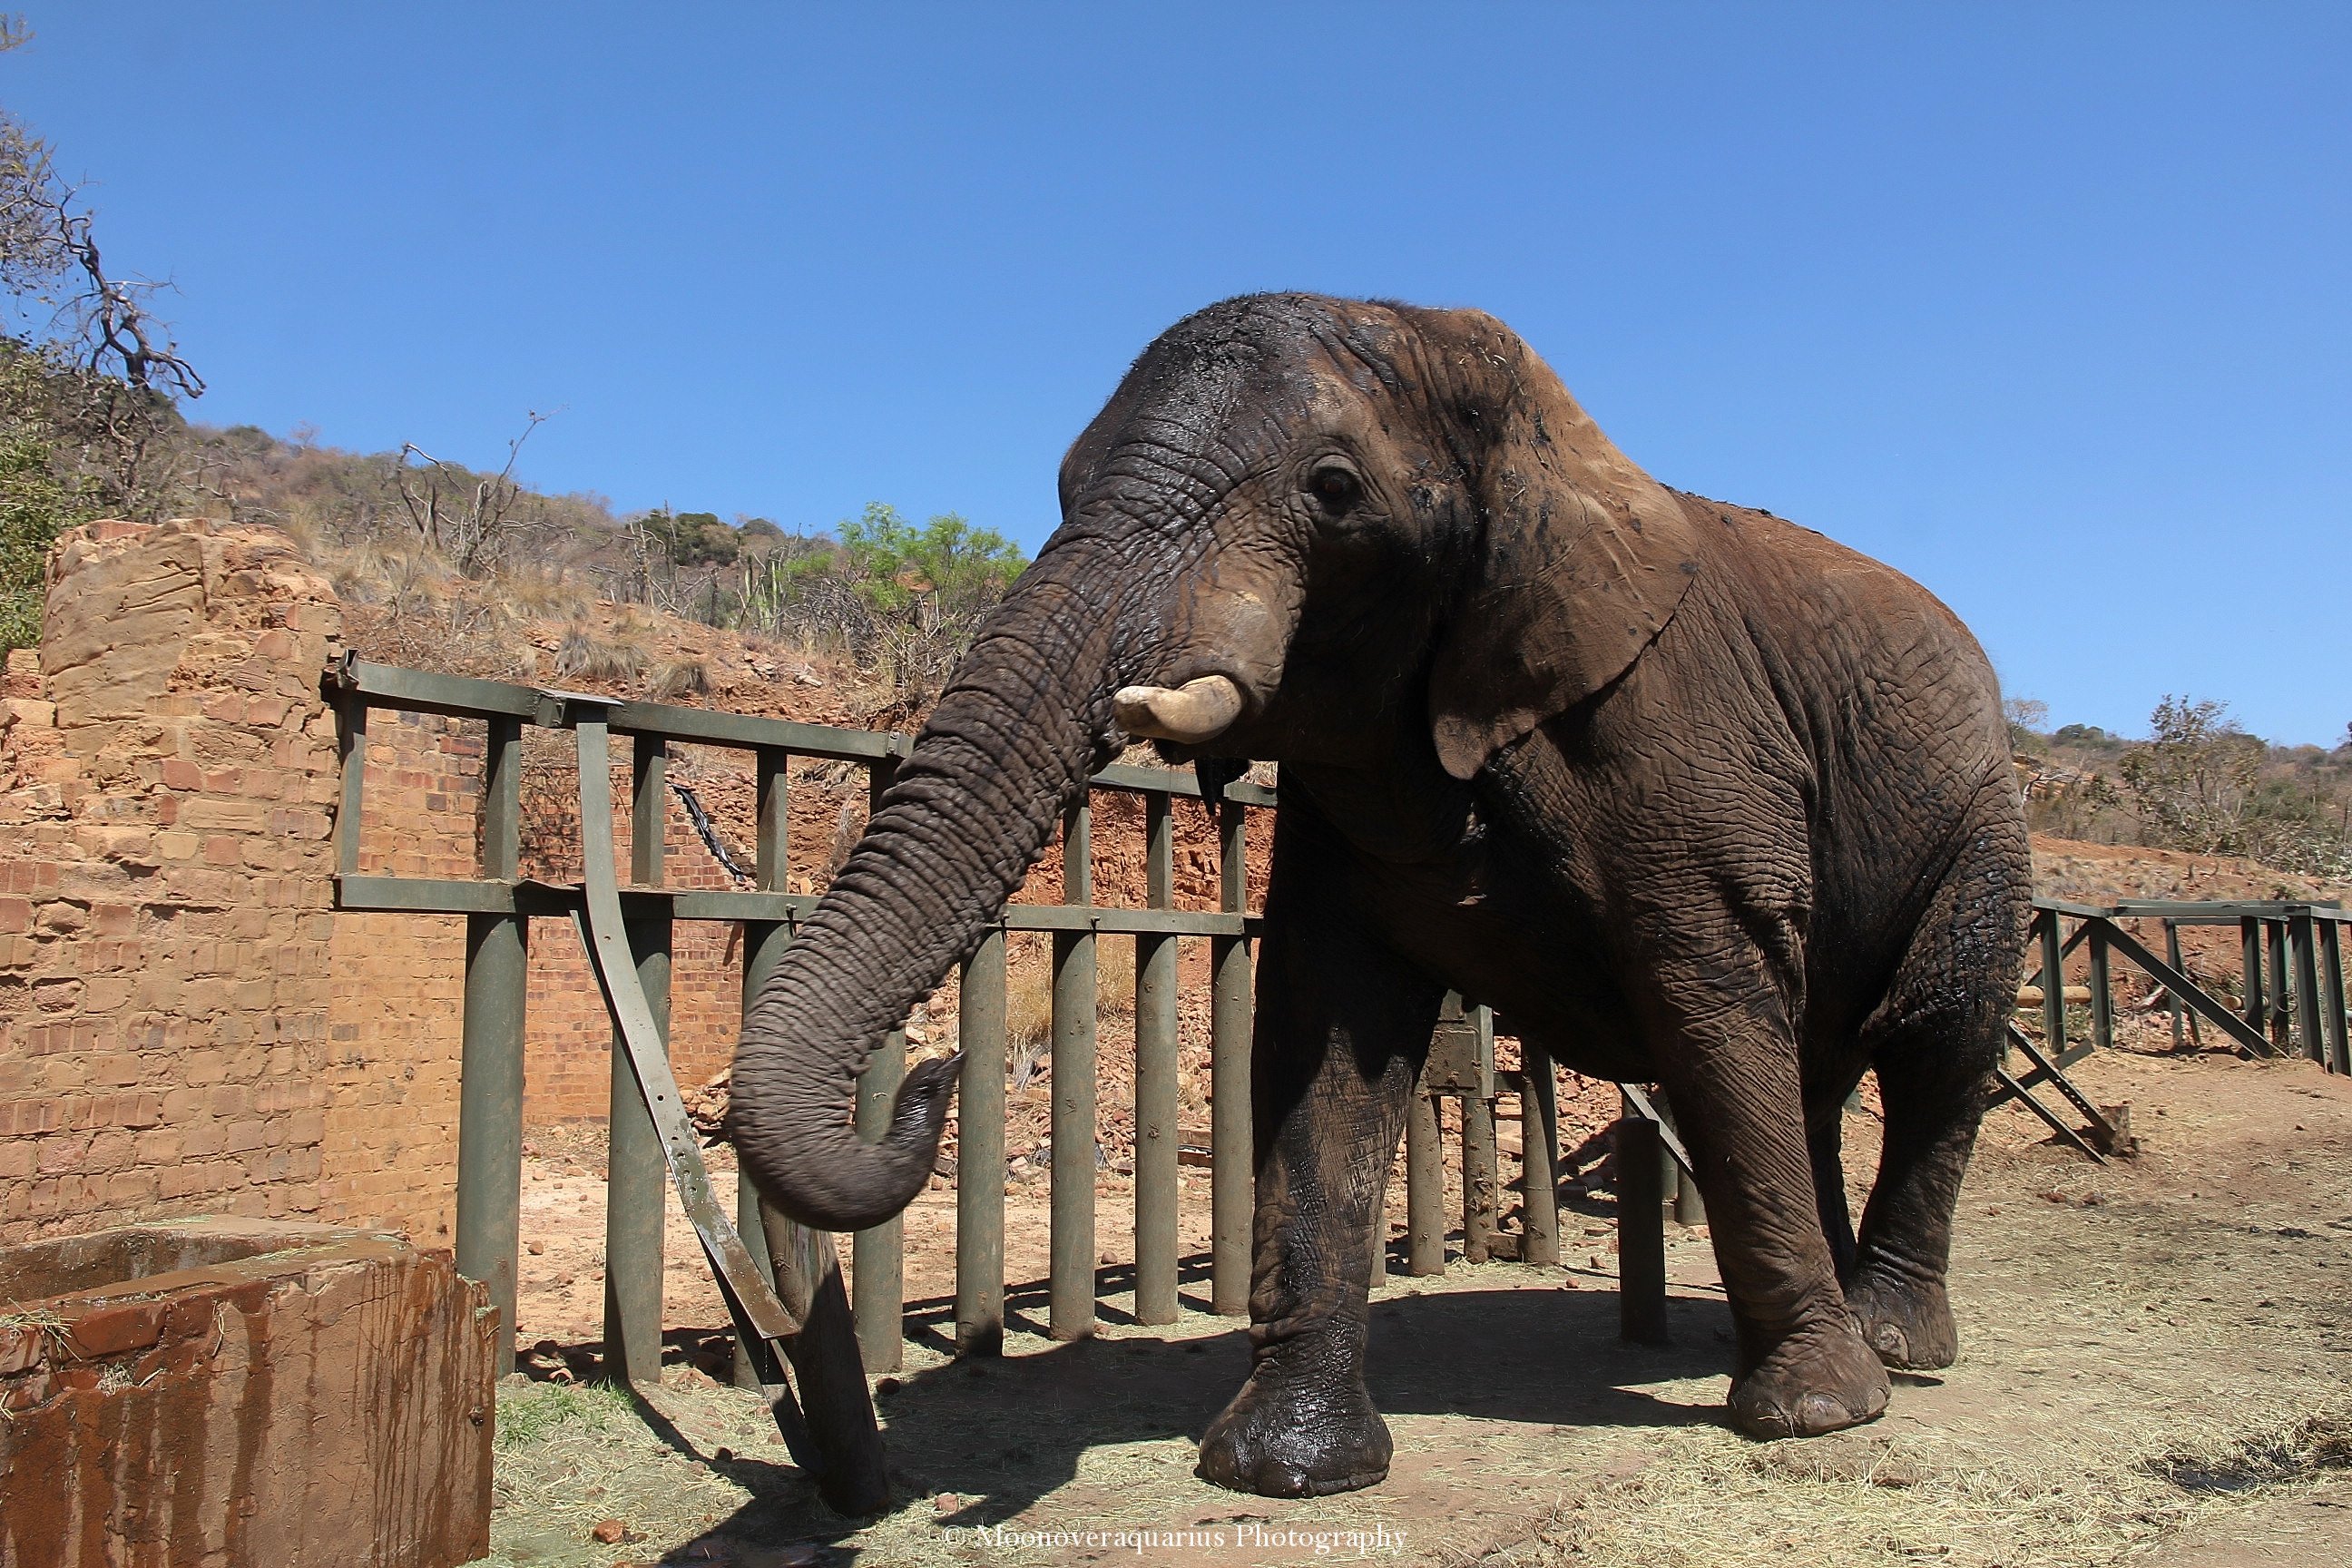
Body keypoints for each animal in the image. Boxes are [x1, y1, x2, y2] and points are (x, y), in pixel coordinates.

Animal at [724, 291, 2032, 1494]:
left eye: (1336, 491)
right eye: (1062, 485)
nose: (935, 1073)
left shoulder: (1676, 748)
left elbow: (1709, 1010)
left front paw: (1815, 1415)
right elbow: (1330, 1046)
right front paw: (1287, 1468)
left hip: (1981, 829)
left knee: (1932, 1045)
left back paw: (1890, 1348)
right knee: (1812, 1072)